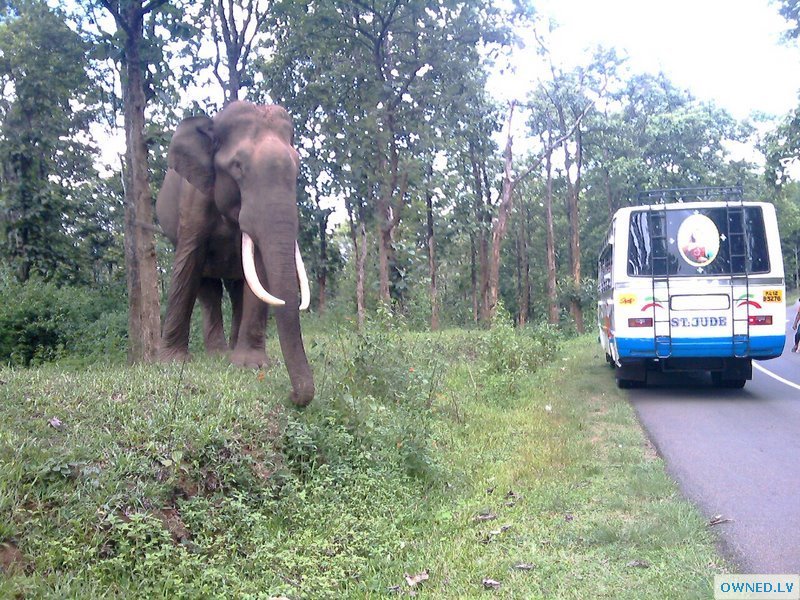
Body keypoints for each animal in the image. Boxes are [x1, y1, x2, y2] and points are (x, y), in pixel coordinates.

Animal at [156, 101, 316, 408]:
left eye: (298, 167)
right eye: (237, 167)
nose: (292, 395)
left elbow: (259, 272)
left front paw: (252, 365)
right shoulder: (194, 197)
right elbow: (187, 262)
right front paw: (171, 362)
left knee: (235, 288)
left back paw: (229, 352)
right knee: (208, 288)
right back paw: (217, 354)